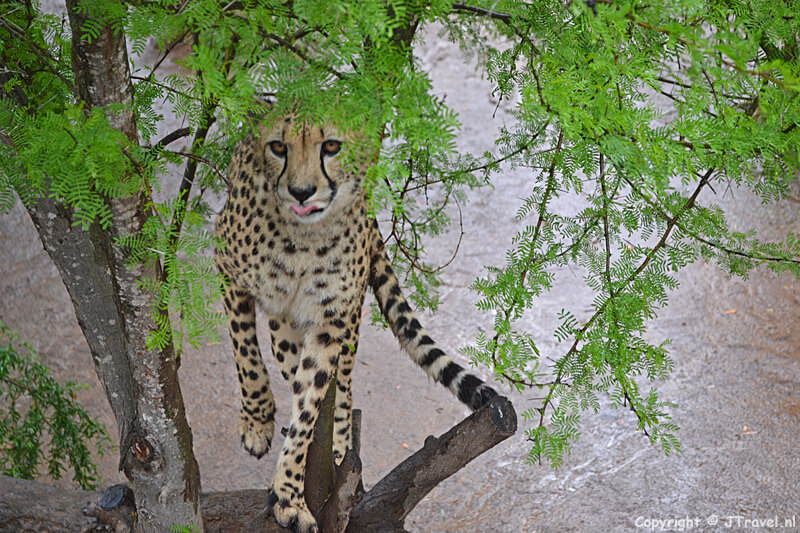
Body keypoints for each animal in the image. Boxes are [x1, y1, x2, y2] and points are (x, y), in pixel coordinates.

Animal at [214, 111, 498, 533]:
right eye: (278, 146)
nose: (302, 191)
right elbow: (245, 351)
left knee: (342, 384)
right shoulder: (228, 268)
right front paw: (257, 421)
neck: (303, 237)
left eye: (331, 146)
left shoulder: (332, 321)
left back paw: (338, 442)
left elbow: (308, 406)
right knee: (282, 355)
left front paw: (288, 495)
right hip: (284, 323)